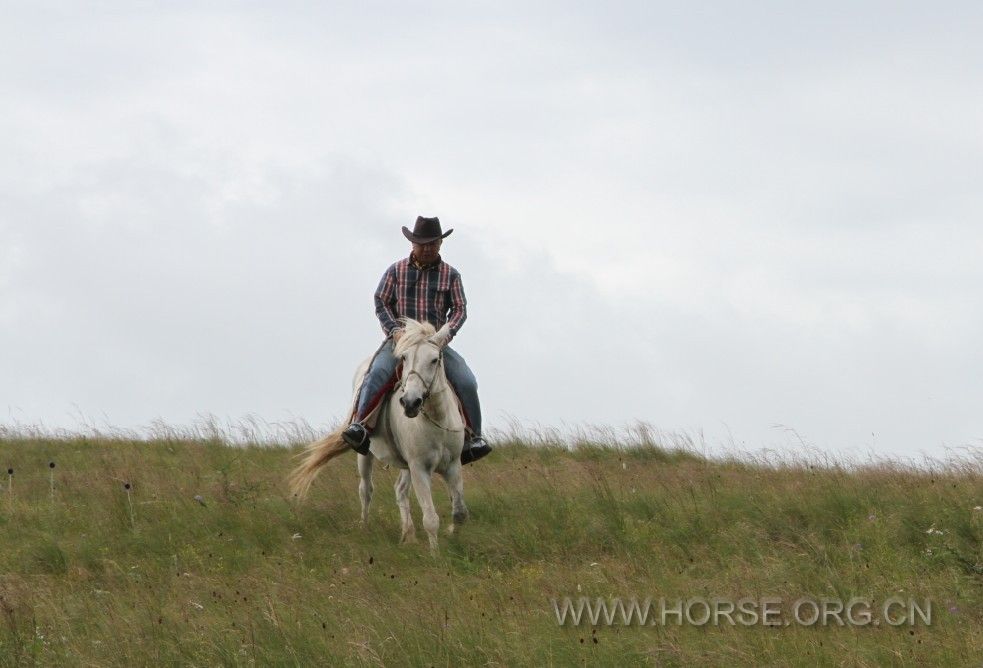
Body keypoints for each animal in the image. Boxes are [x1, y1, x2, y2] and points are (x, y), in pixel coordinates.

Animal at [288, 318, 468, 552]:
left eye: (434, 359)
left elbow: (459, 512)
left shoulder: (452, 465)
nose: (410, 402)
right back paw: (365, 528)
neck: (436, 420)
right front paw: (435, 555)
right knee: (366, 490)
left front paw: (454, 540)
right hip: (365, 454)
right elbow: (430, 518)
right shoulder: (419, 468)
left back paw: (408, 534)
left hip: (405, 465)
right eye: (404, 358)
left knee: (400, 490)